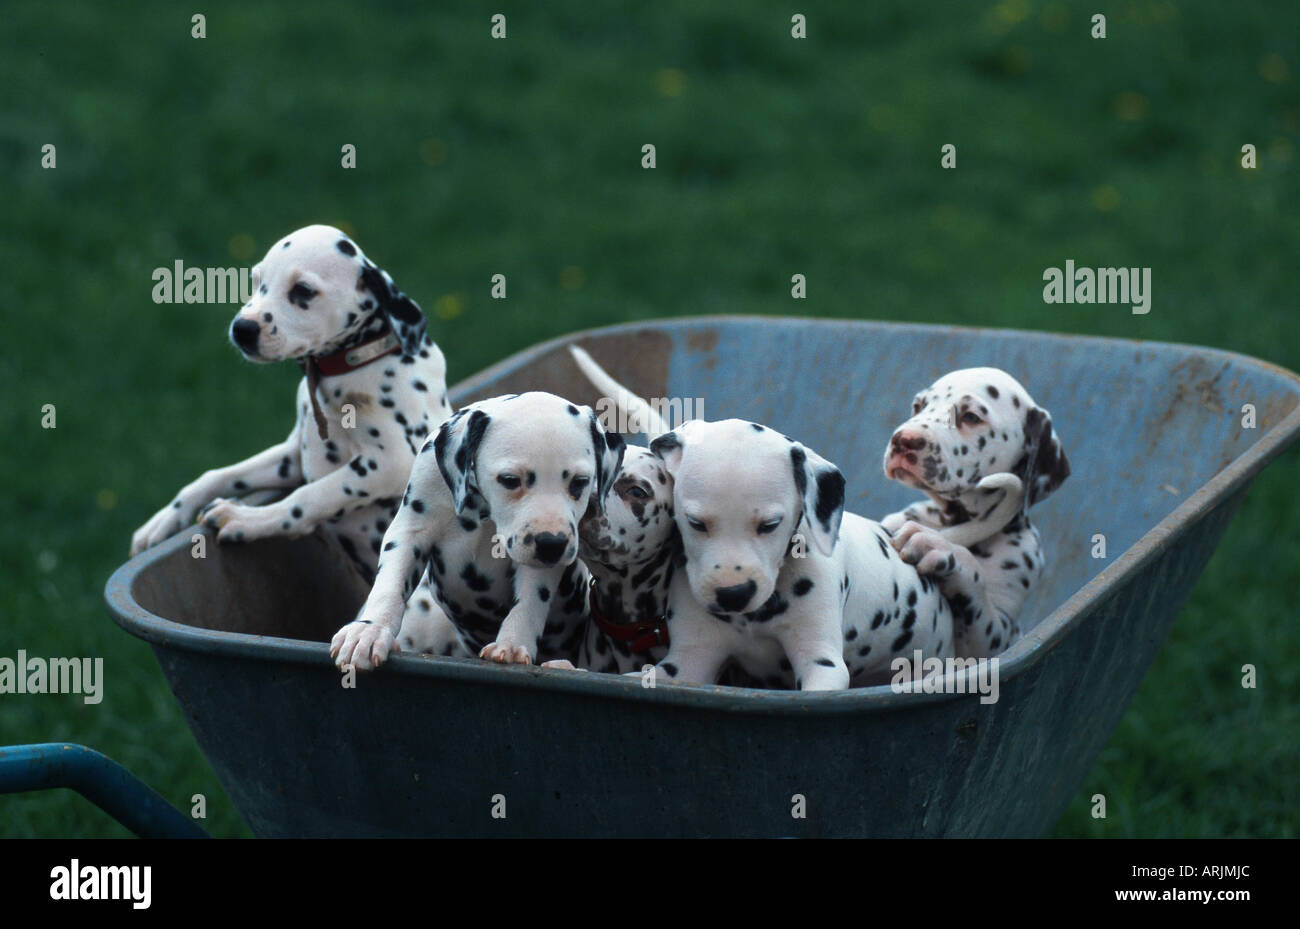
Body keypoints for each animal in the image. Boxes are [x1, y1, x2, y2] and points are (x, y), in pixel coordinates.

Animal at [130, 226, 467, 657]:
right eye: (257, 281)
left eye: (303, 291)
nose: (242, 329)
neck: (347, 370)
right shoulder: (294, 456)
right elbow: (218, 475)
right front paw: (163, 521)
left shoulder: (392, 461)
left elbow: (310, 497)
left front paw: (246, 518)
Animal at [330, 389, 624, 670]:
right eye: (510, 480)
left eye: (580, 482)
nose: (552, 544)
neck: (480, 511)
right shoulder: (411, 530)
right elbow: (390, 586)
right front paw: (368, 631)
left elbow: (530, 600)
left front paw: (513, 643)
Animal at [878, 366, 1071, 657]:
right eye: (918, 406)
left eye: (970, 417)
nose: (903, 440)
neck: (954, 518)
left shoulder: (997, 639)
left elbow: (974, 581)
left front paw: (938, 546)